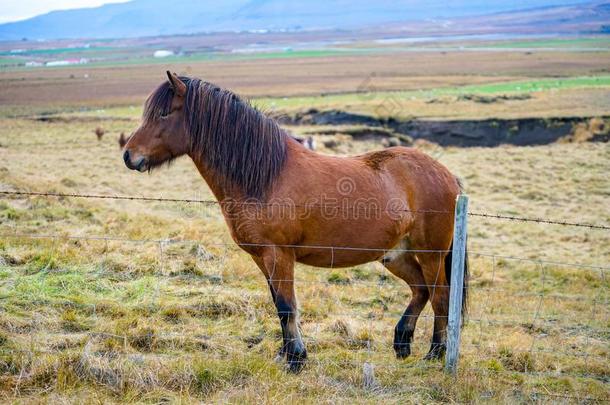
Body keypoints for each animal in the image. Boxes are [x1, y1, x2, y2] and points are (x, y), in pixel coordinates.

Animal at [122, 72, 466, 372]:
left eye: (164, 113)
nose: (129, 155)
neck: (265, 176)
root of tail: (447, 175)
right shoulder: (262, 258)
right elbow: (278, 305)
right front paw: (286, 354)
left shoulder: (279, 255)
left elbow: (287, 306)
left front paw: (296, 360)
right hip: (396, 255)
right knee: (421, 290)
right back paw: (402, 343)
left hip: (431, 254)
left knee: (440, 296)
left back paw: (435, 354)